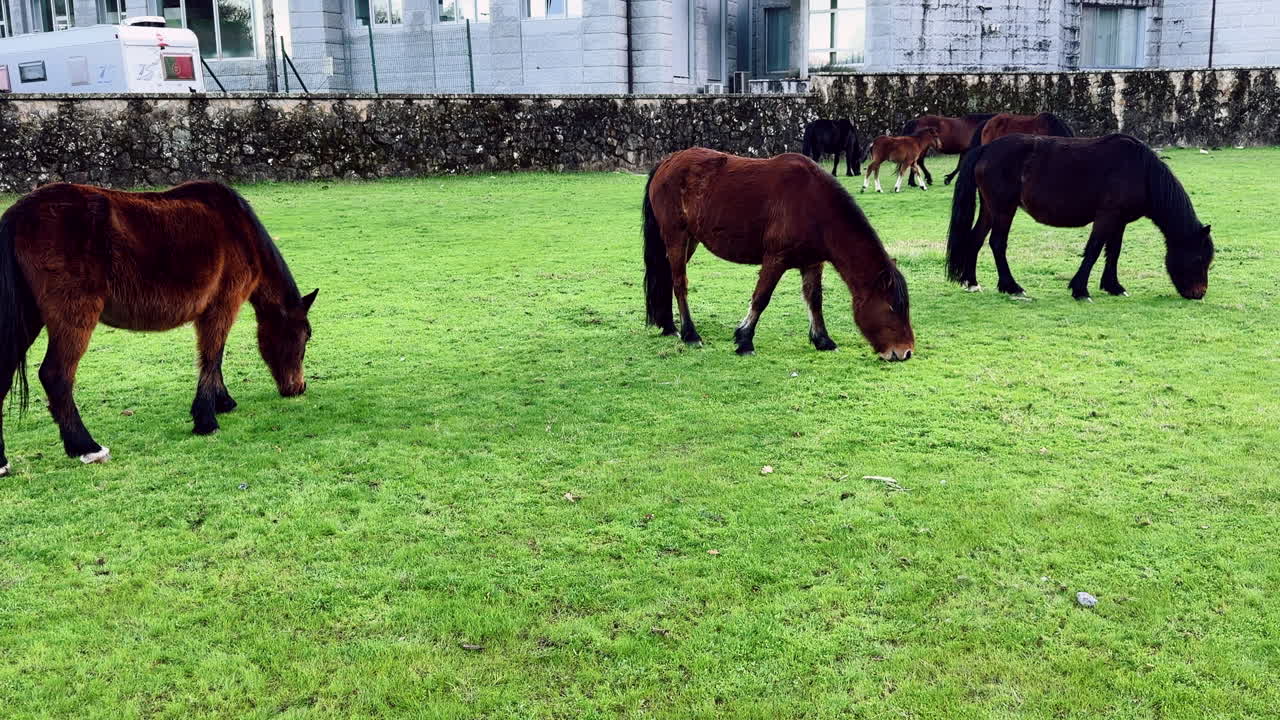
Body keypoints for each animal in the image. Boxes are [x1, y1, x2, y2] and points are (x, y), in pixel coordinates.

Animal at [0, 181, 318, 476]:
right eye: (304, 336)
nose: (298, 388)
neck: (240, 231)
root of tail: (18, 214)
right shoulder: (222, 307)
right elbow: (212, 357)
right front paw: (206, 419)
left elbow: (214, 359)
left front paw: (222, 402)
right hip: (73, 318)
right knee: (56, 375)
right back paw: (86, 447)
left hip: (29, 318)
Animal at [643, 148, 913, 360]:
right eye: (891, 307)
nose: (905, 352)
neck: (814, 204)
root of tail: (667, 162)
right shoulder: (775, 259)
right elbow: (761, 298)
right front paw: (744, 340)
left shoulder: (812, 263)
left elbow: (815, 300)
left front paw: (823, 340)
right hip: (677, 237)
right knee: (680, 283)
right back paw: (690, 334)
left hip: (690, 240)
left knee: (668, 279)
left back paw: (669, 326)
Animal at [945, 133, 1213, 301]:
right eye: (1199, 258)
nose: (1199, 293)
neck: (1140, 171)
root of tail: (985, 149)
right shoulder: (1106, 217)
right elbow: (1094, 250)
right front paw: (1081, 290)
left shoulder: (1119, 221)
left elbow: (1113, 252)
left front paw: (1113, 286)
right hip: (1004, 210)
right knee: (997, 244)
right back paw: (1012, 287)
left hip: (990, 209)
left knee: (976, 240)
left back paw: (972, 282)